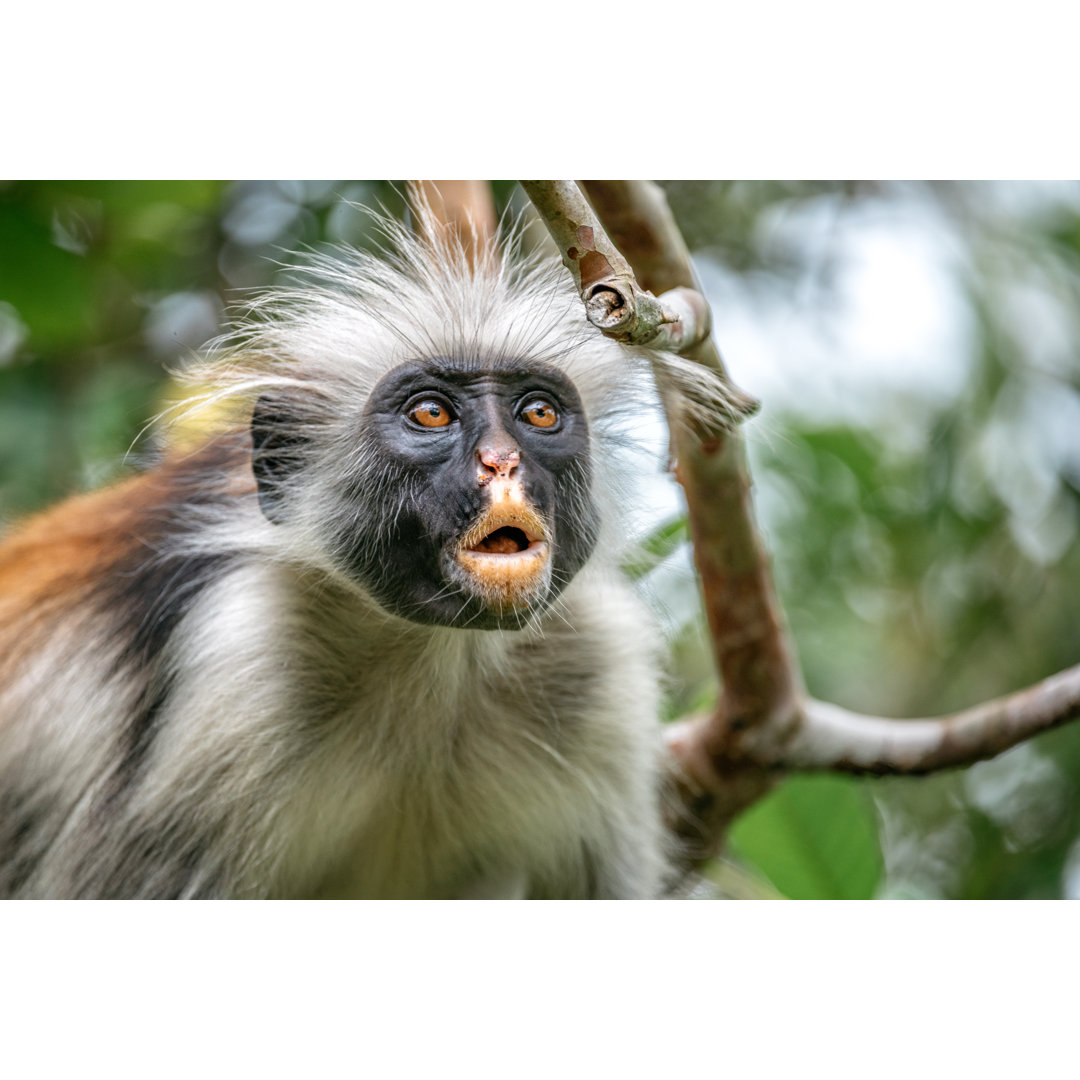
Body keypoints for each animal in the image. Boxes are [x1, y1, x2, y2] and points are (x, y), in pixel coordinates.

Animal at [0, 214, 730, 898]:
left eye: (539, 414)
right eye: (431, 414)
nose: (502, 461)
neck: (433, 661)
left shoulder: (598, 671)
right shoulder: (235, 670)